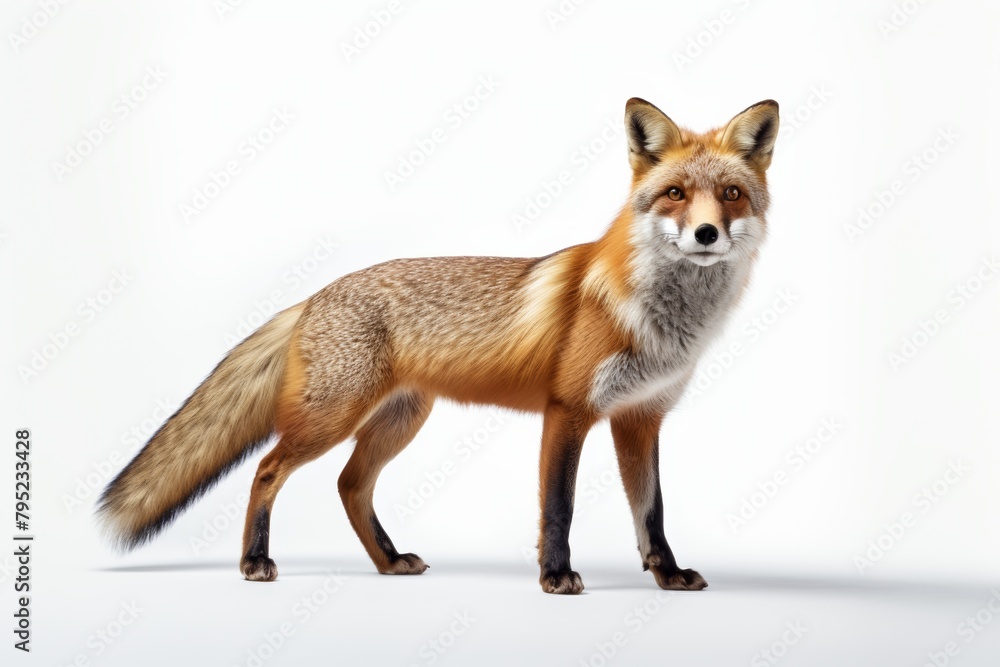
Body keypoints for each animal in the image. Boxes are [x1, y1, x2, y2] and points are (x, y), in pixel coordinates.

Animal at [98, 97, 779, 594]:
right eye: (675, 194)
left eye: (731, 195)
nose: (706, 233)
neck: (658, 319)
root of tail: (316, 294)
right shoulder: (569, 411)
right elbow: (558, 508)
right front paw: (555, 575)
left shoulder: (639, 418)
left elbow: (652, 513)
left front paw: (667, 574)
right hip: (331, 418)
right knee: (267, 471)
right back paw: (253, 562)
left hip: (400, 419)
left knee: (350, 486)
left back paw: (388, 562)